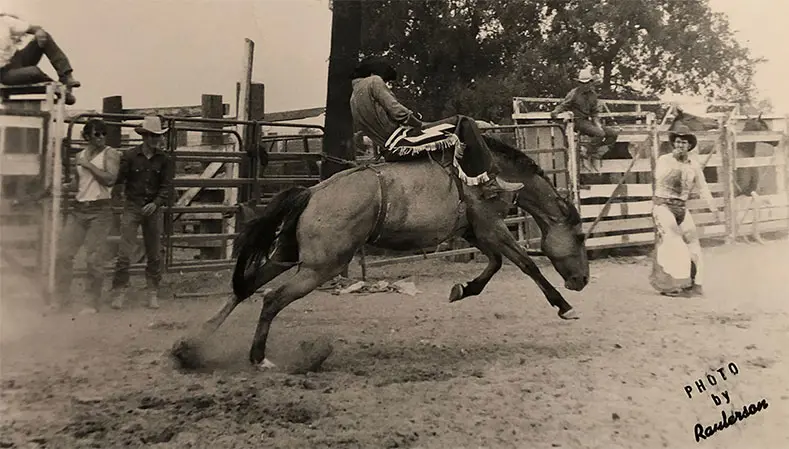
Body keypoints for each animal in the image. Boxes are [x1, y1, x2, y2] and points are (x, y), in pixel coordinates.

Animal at [174, 121, 592, 370]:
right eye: (581, 237)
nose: (583, 281)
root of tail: (312, 193)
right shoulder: (491, 227)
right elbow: (525, 264)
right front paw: (565, 307)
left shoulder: (476, 232)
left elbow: (493, 266)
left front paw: (461, 289)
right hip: (320, 266)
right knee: (272, 298)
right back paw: (258, 358)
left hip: (287, 256)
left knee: (246, 288)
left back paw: (192, 346)